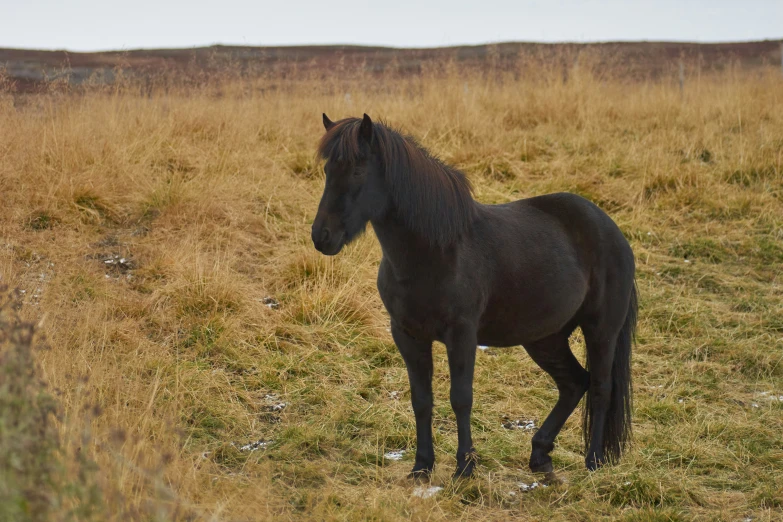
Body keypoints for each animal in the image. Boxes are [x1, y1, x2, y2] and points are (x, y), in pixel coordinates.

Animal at [310, 112, 636, 476]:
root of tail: (612, 230)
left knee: (600, 388)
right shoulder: (407, 335)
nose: (322, 236)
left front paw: (465, 466)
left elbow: (461, 398)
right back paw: (540, 455)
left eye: (357, 170)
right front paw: (421, 467)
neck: (434, 252)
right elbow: (421, 399)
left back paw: (593, 461)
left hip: (601, 330)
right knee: (574, 383)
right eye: (328, 170)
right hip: (545, 338)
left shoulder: (462, 334)